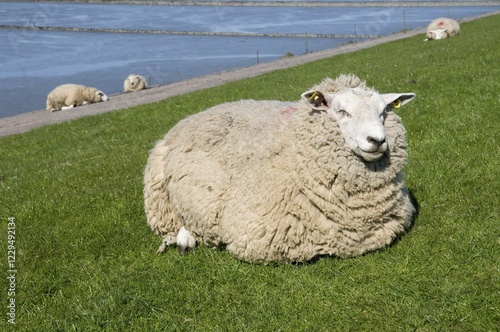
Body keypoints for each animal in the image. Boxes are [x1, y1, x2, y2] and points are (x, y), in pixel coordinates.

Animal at [143, 74, 416, 264]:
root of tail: (185, 120)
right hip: (162, 199)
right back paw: (184, 239)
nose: (377, 140)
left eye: (383, 112)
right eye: (342, 111)